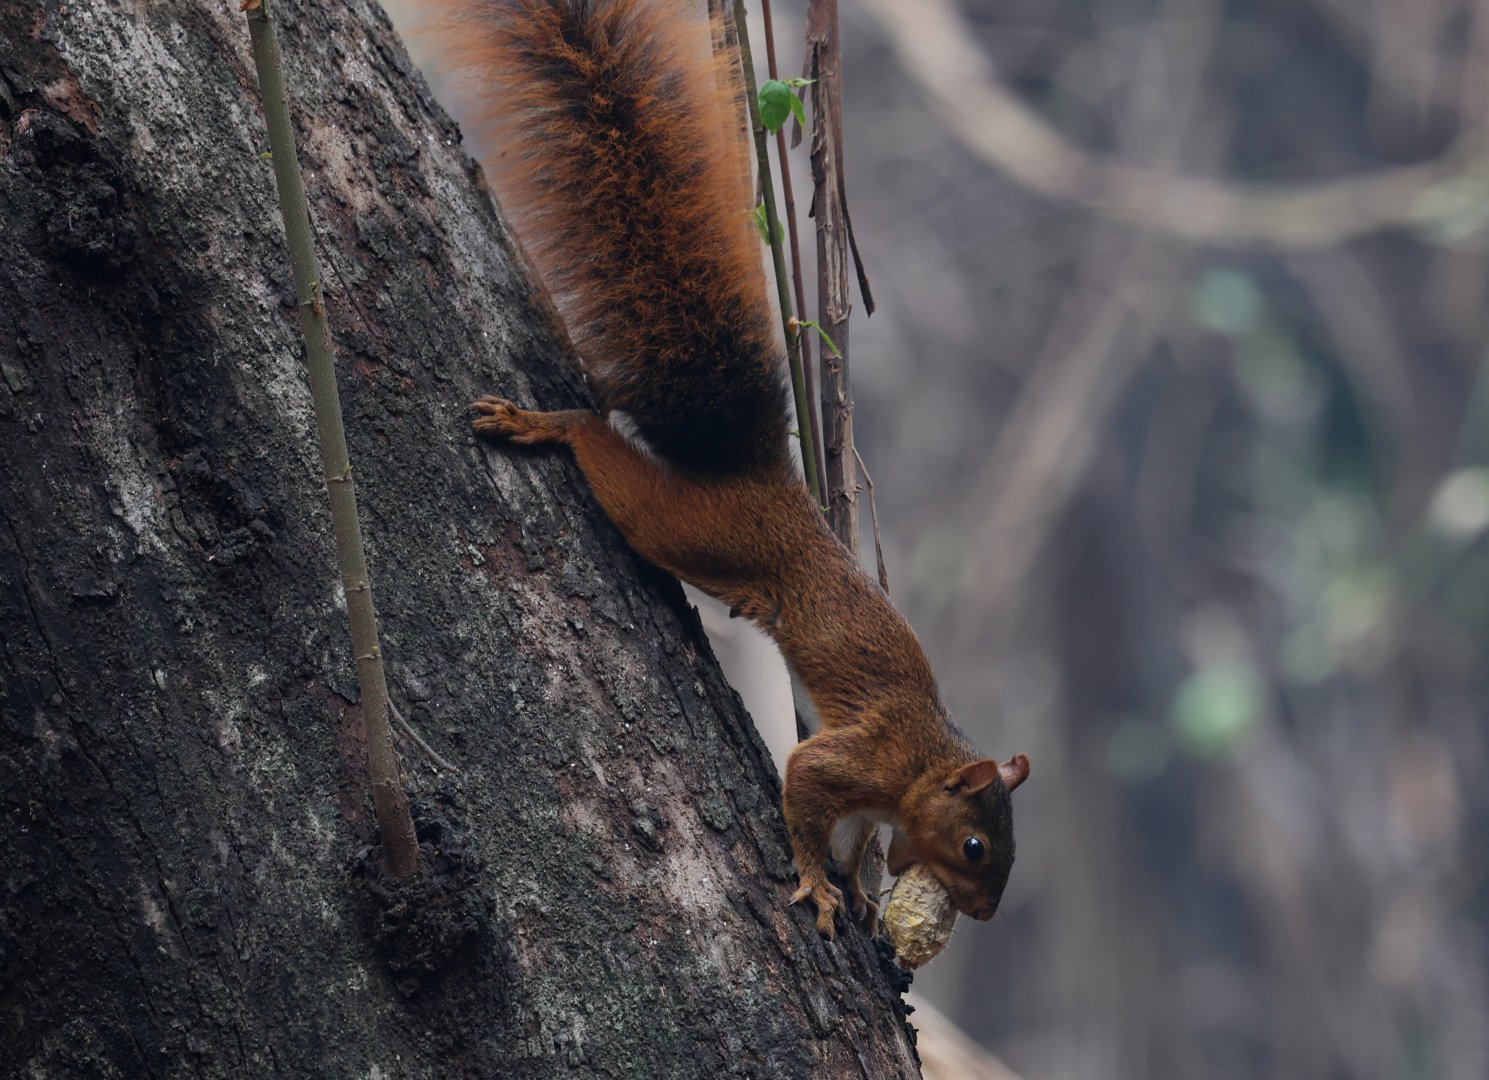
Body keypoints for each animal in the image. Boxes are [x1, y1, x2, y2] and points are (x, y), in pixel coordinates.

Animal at [434, 0, 1031, 938]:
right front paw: (819, 883)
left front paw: (864, 893)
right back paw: (545, 424)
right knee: (608, 458)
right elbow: (807, 791)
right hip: (696, 532)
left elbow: (853, 838)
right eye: (974, 848)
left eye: (1007, 856)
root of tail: (767, 480)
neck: (922, 761)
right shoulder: (856, 759)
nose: (981, 916)